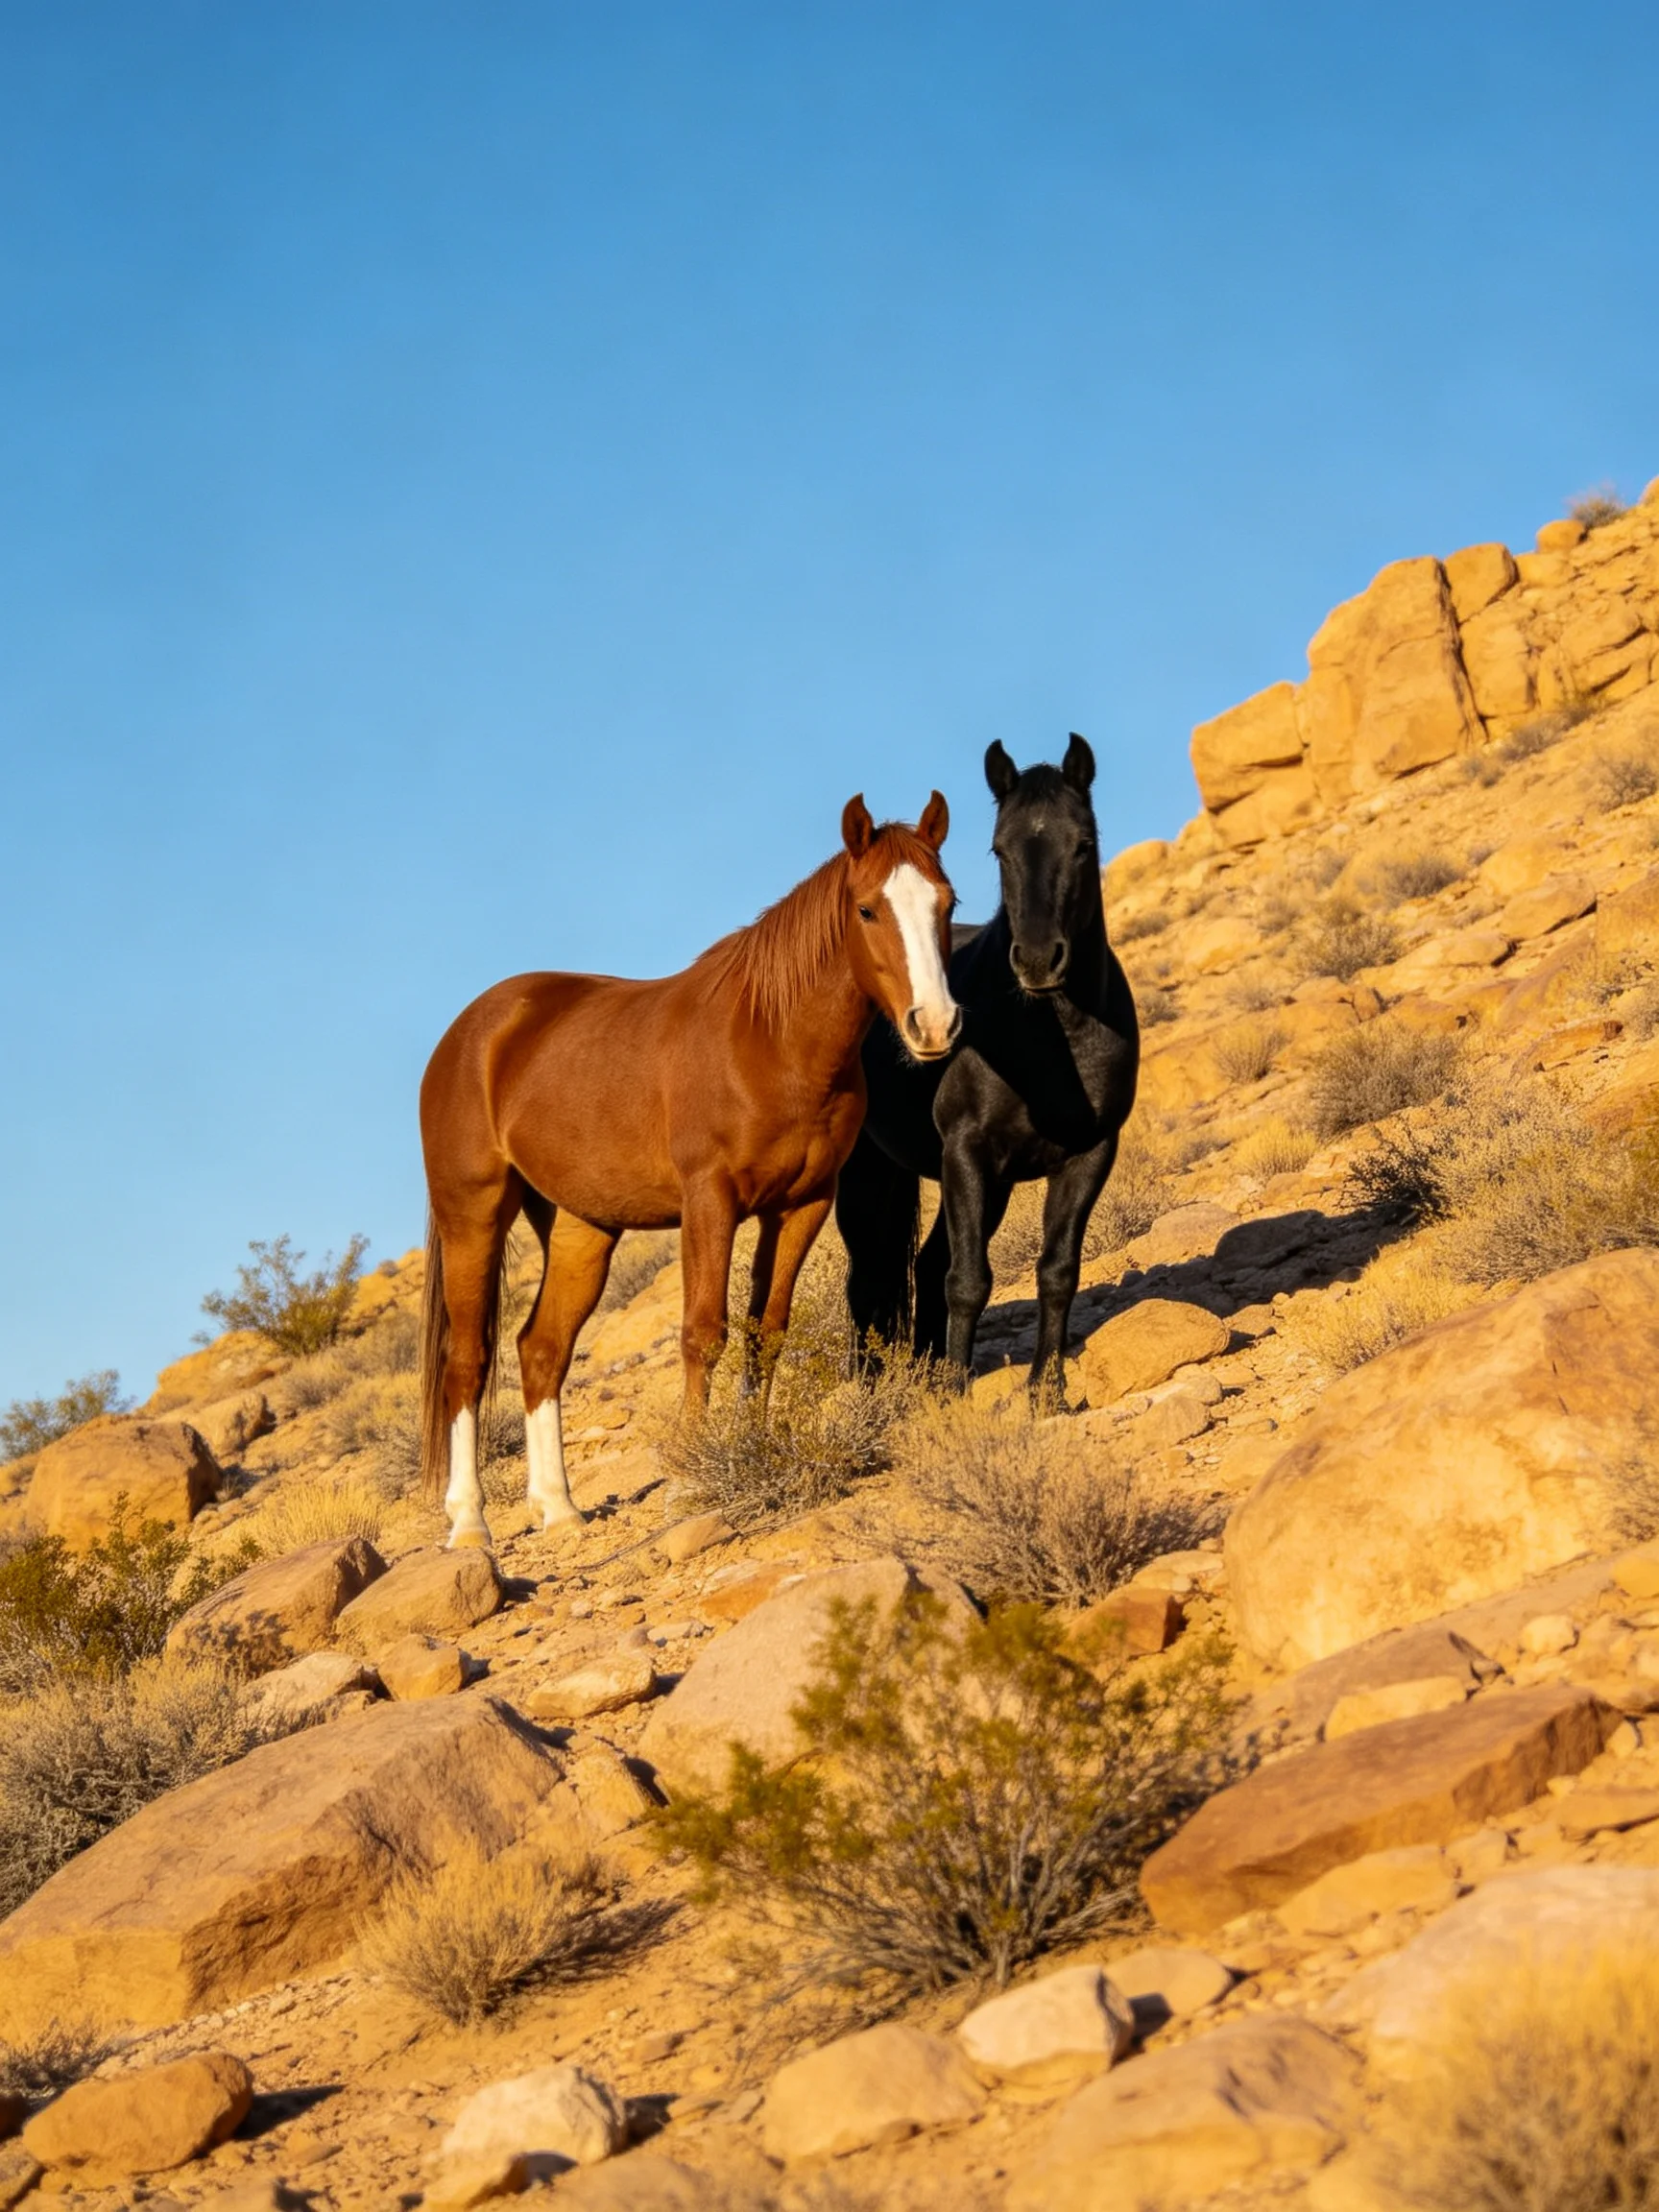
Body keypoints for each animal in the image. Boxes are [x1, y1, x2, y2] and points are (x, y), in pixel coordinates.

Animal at [418, 792, 960, 1548]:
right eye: (866, 910)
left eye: (947, 902)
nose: (933, 1025)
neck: (770, 1041)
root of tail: (471, 1033)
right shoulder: (711, 1202)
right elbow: (705, 1333)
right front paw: (688, 1477)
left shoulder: (802, 1205)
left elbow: (767, 1332)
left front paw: (748, 1450)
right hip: (473, 1214)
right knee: (466, 1361)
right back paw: (470, 1523)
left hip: (582, 1228)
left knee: (541, 1349)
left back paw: (559, 1507)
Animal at [835, 735, 1139, 1401]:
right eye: (999, 848)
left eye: (1084, 843)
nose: (1038, 960)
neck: (1050, 1043)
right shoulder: (966, 1153)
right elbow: (968, 1279)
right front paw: (955, 1394)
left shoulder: (1089, 1154)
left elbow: (1057, 1270)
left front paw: (1046, 1390)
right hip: (870, 1174)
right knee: (869, 1280)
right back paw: (875, 1392)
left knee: (921, 1266)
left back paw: (924, 1372)